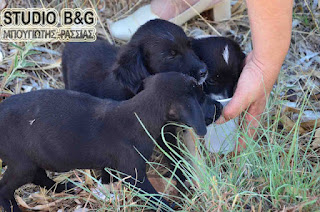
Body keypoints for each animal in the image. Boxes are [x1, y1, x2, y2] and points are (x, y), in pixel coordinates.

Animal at [0, 72, 215, 211]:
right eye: (202, 98)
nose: (219, 107)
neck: (140, 115)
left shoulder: (110, 166)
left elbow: (106, 179)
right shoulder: (134, 175)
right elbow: (152, 197)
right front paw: (167, 206)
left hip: (31, 161)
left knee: (39, 176)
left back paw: (65, 187)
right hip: (21, 164)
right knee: (6, 188)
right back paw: (13, 208)